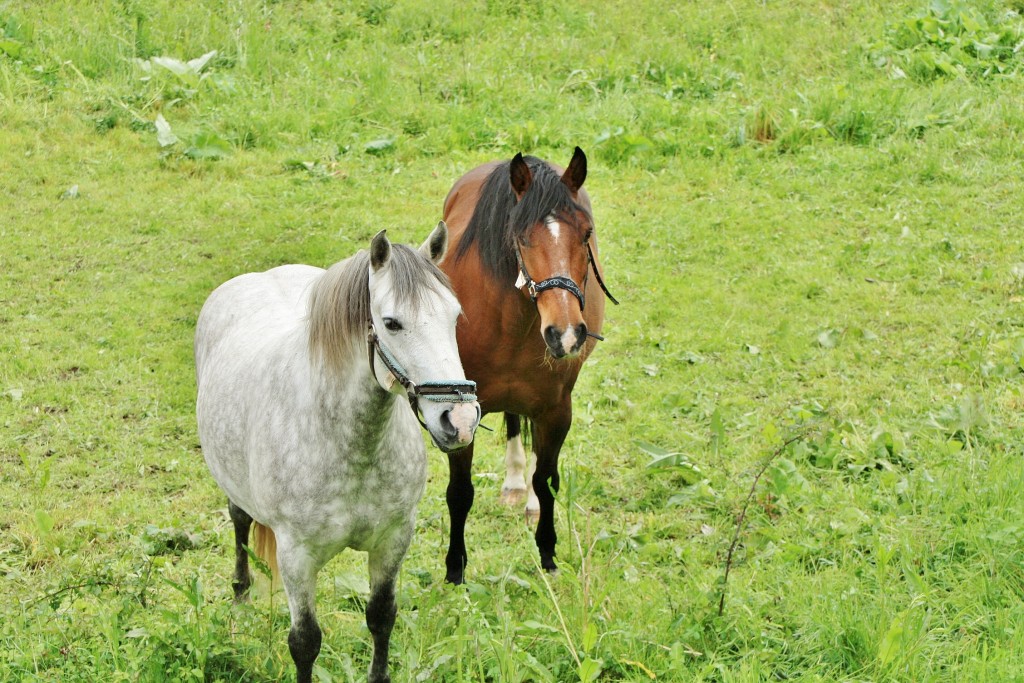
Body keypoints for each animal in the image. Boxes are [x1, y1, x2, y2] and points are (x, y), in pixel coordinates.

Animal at [196, 225, 483, 683]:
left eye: (454, 317)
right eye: (391, 323)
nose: (459, 419)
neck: (352, 447)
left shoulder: (393, 539)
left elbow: (381, 617)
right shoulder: (296, 556)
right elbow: (305, 642)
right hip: (234, 486)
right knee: (240, 522)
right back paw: (240, 601)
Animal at [438, 147, 614, 585]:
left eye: (586, 234)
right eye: (521, 238)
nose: (565, 334)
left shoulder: (556, 409)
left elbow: (547, 479)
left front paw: (548, 555)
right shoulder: (458, 410)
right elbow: (459, 491)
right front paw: (455, 571)